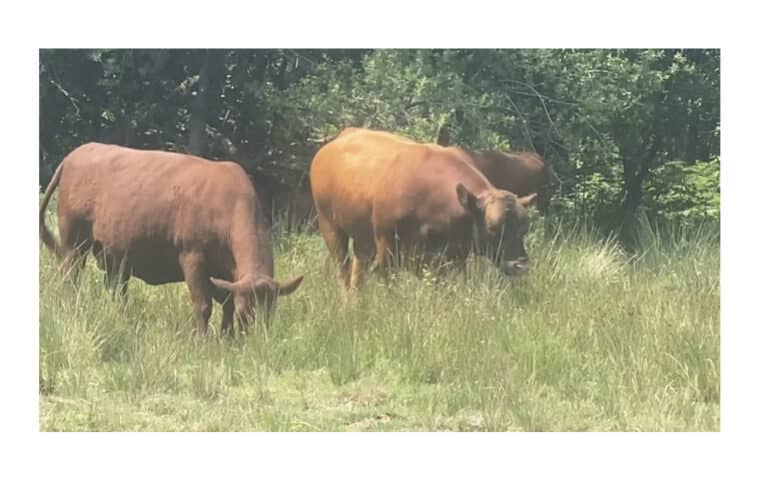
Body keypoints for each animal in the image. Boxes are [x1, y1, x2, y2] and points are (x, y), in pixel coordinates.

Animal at [39, 143, 304, 336]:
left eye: (271, 312)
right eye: (245, 313)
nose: (259, 341)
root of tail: (77, 152)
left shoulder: (228, 273)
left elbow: (227, 302)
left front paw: (227, 339)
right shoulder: (192, 257)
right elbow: (203, 304)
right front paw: (203, 341)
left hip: (114, 254)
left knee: (116, 291)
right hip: (74, 243)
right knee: (70, 277)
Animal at [309, 128, 536, 288]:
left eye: (524, 229)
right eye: (493, 228)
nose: (520, 265)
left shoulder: (453, 258)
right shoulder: (387, 251)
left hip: (362, 240)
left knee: (358, 273)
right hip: (330, 227)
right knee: (343, 272)